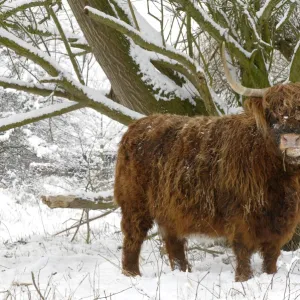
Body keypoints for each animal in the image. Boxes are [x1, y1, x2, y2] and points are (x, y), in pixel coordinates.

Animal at [113, 48, 300, 280]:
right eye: (271, 112)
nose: (290, 139)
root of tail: (136, 125)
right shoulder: (241, 218)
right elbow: (243, 252)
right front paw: (243, 279)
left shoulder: (281, 222)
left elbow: (271, 258)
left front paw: (270, 276)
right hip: (134, 203)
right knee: (133, 236)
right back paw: (132, 274)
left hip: (169, 209)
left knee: (173, 242)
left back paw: (182, 271)